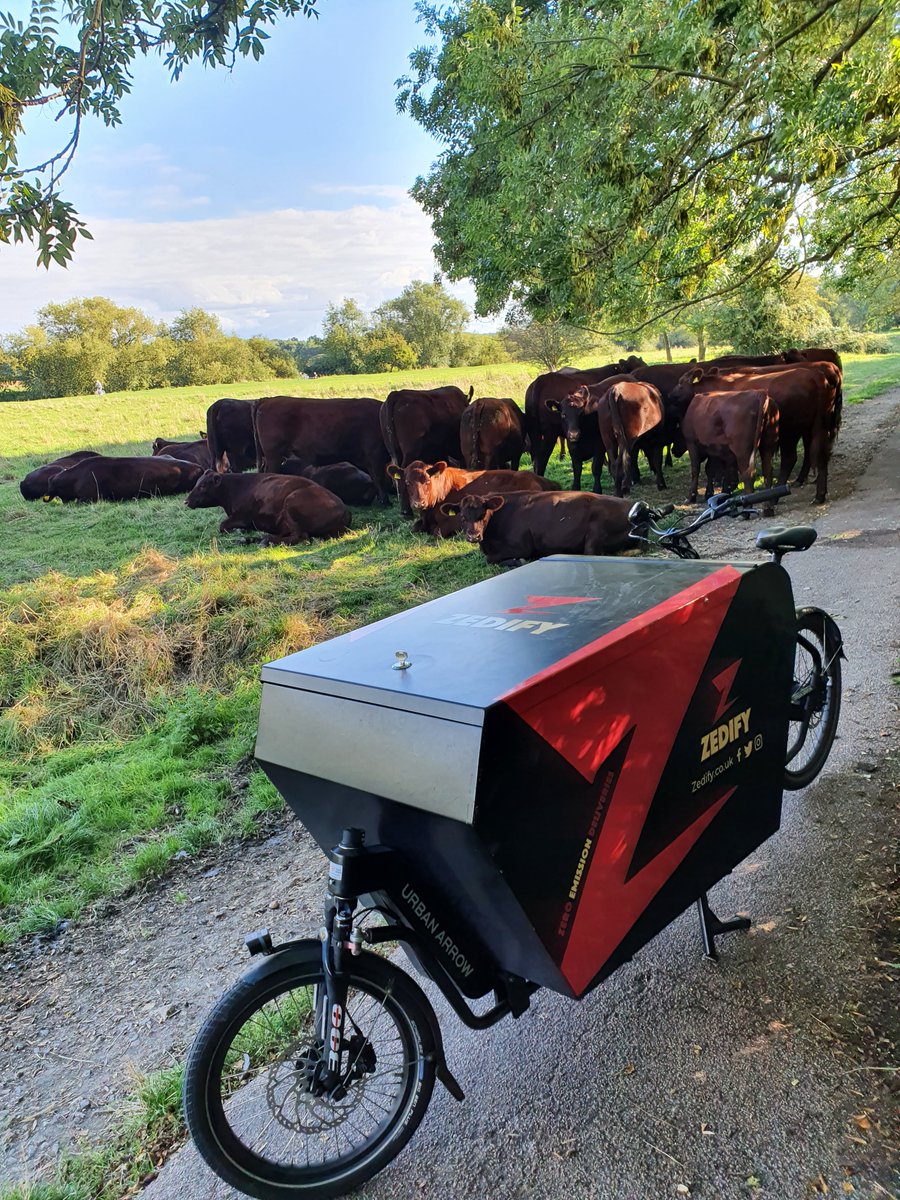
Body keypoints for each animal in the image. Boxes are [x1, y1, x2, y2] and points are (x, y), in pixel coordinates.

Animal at [185, 471, 350, 544]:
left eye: (202, 486)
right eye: (197, 483)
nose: (186, 501)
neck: (235, 488)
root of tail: (344, 510)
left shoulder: (242, 516)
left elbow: (222, 525)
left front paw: (239, 530)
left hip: (291, 502)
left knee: (299, 536)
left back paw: (266, 539)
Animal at [388, 459, 560, 536]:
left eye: (427, 481)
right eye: (407, 482)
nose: (419, 503)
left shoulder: (453, 522)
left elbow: (437, 532)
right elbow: (415, 526)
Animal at [446, 490, 639, 564]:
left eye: (483, 514)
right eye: (462, 517)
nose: (473, 536)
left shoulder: (522, 547)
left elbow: (490, 559)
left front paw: (517, 561)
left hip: (595, 533)